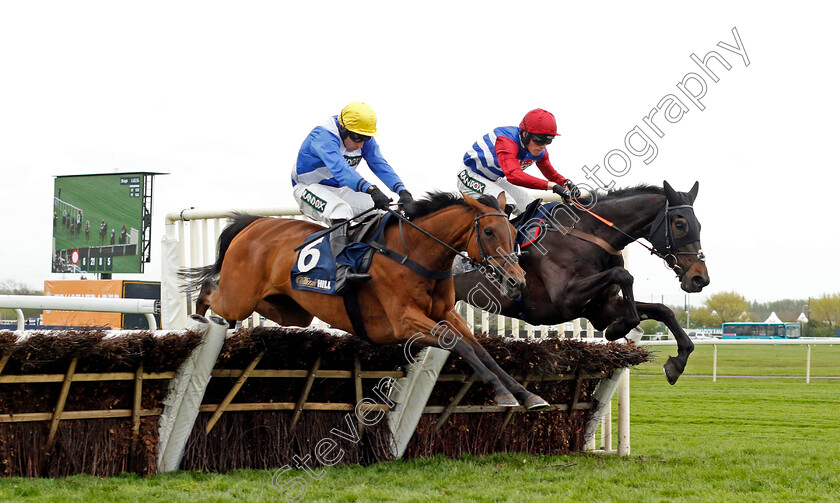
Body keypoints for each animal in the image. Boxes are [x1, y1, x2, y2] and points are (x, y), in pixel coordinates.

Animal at [183, 193, 548, 410]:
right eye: (488, 233)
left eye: (513, 234)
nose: (517, 281)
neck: (416, 254)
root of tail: (254, 223)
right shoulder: (404, 322)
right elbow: (460, 345)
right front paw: (503, 393)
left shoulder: (444, 313)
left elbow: (481, 350)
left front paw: (526, 394)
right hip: (240, 297)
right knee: (210, 291)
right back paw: (202, 321)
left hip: (289, 311)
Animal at [452, 183, 708, 384]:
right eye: (680, 224)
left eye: (699, 225)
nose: (700, 278)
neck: (588, 234)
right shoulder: (565, 300)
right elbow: (623, 275)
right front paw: (617, 329)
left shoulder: (601, 308)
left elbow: (663, 310)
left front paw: (678, 361)